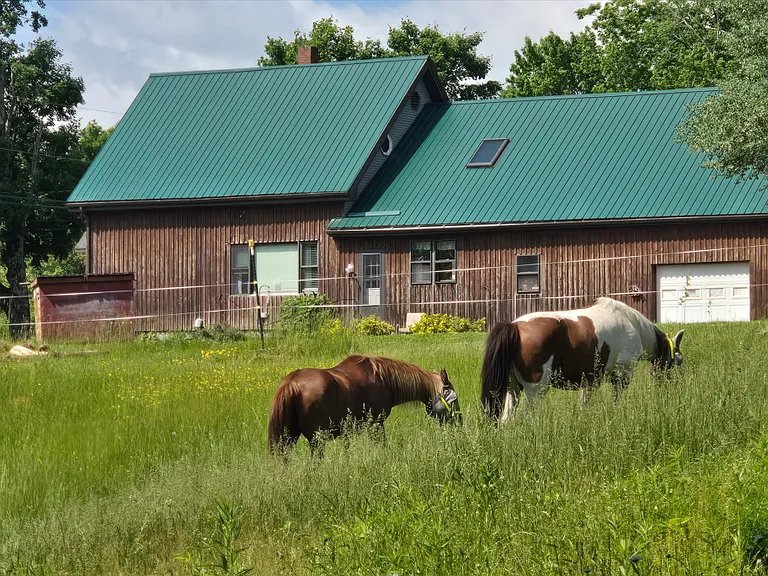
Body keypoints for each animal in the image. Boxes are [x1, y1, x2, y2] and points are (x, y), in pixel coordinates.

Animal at [268, 354, 461, 454]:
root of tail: (292, 382)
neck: (384, 379)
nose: (459, 423)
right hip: (317, 439)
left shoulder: (348, 432)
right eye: (453, 399)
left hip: (287, 438)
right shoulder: (376, 424)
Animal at [481, 297, 684, 422]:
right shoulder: (622, 375)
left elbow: (584, 405)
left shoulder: (590, 381)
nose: (673, 389)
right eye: (678, 361)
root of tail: (514, 326)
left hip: (513, 389)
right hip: (535, 391)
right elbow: (617, 401)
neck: (631, 323)